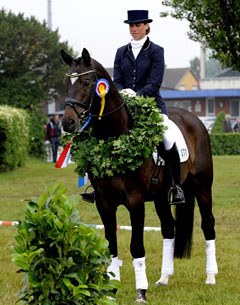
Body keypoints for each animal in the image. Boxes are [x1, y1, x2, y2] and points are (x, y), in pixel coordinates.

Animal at [59, 48, 218, 302]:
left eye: (86, 82)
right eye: (66, 83)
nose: (67, 122)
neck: (114, 140)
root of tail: (195, 120)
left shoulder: (135, 202)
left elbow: (136, 247)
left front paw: (141, 292)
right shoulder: (104, 202)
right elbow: (111, 246)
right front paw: (111, 290)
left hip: (202, 187)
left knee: (208, 224)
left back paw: (210, 277)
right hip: (163, 196)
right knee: (169, 228)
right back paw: (164, 278)